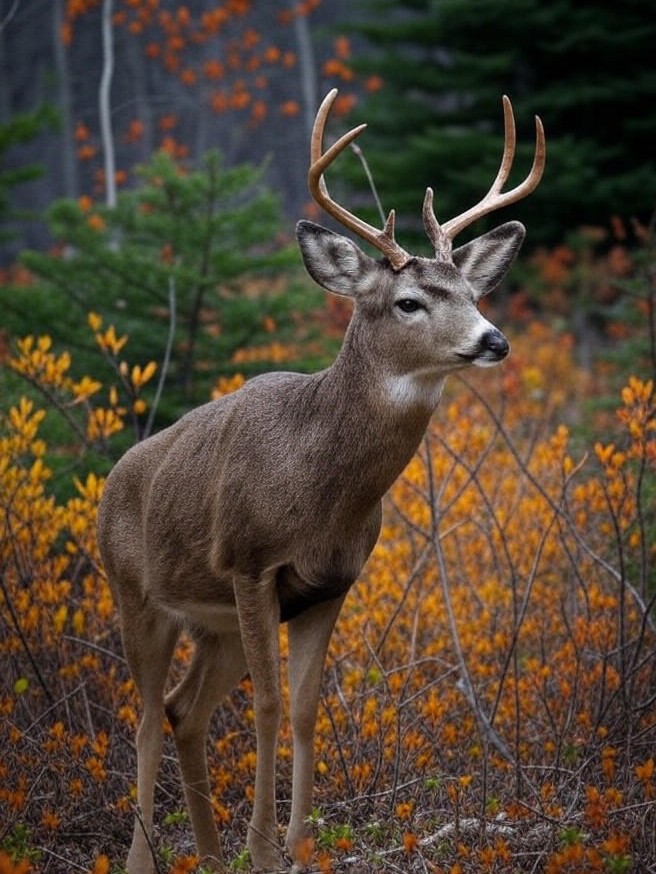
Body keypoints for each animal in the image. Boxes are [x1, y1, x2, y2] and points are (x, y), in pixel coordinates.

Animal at [97, 88, 545, 873]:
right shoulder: (249, 561)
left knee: (183, 709)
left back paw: (208, 855)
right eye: (408, 302)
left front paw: (298, 847)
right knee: (147, 716)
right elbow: (271, 705)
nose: (493, 339)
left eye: (471, 291)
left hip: (211, 622)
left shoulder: (329, 583)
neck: (320, 490)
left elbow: (306, 709)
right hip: (136, 594)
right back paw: (146, 859)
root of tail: (107, 485)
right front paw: (263, 849)